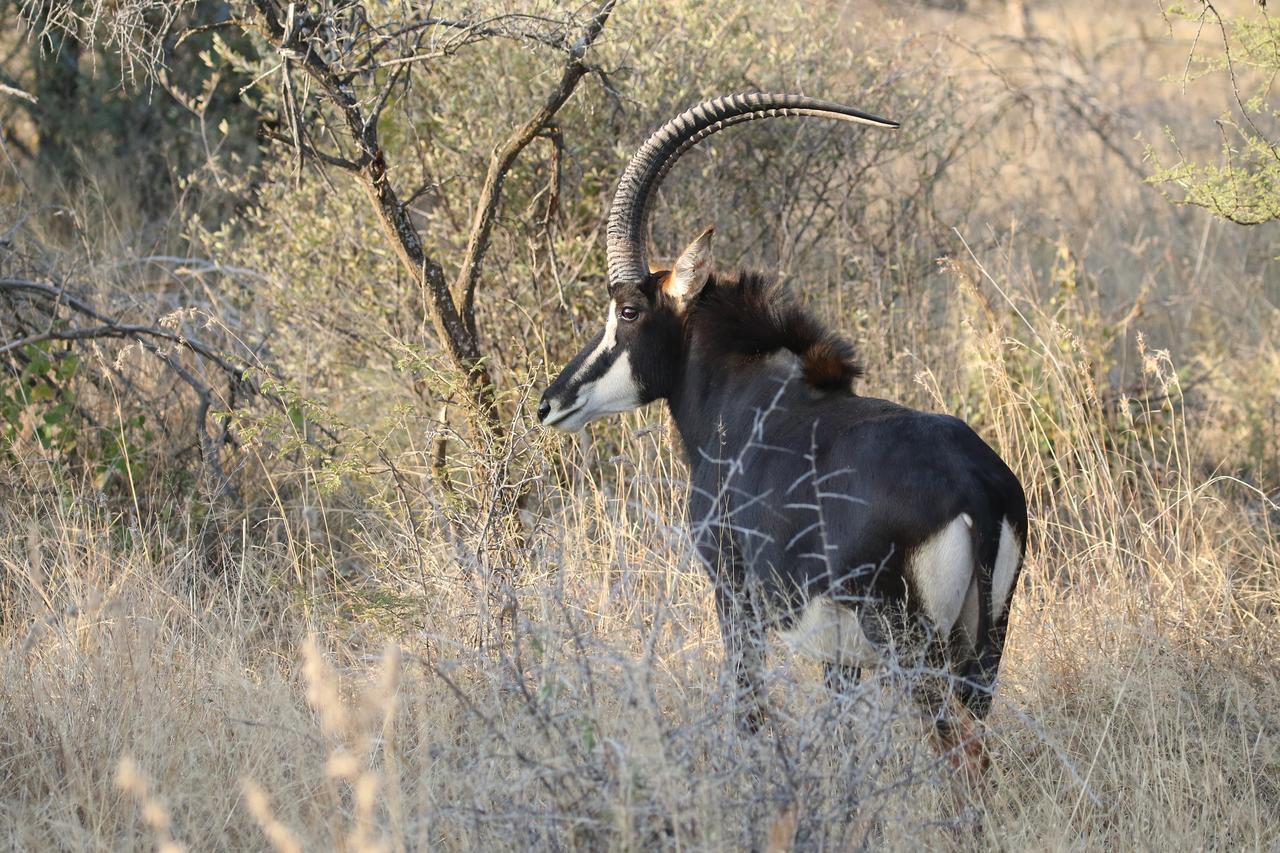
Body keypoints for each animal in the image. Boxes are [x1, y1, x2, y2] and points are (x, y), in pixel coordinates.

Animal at [540, 94, 1029, 768]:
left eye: (629, 311)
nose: (551, 401)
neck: (747, 401)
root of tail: (977, 487)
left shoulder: (732, 595)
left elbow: (747, 706)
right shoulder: (839, 653)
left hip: (910, 645)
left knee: (960, 751)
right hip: (984, 646)